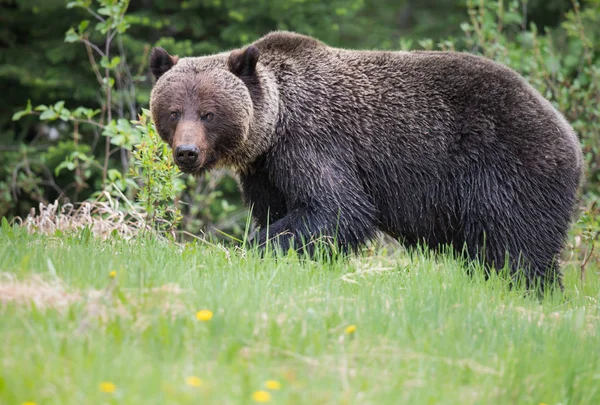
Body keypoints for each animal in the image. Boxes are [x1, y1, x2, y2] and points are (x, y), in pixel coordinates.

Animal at [148, 31, 584, 290]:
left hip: (508, 167)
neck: (273, 128)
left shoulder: (313, 143)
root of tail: (569, 133)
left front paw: (256, 247)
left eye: (209, 113)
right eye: (173, 111)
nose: (187, 152)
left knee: (515, 244)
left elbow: (337, 208)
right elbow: (280, 208)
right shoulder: (264, 169)